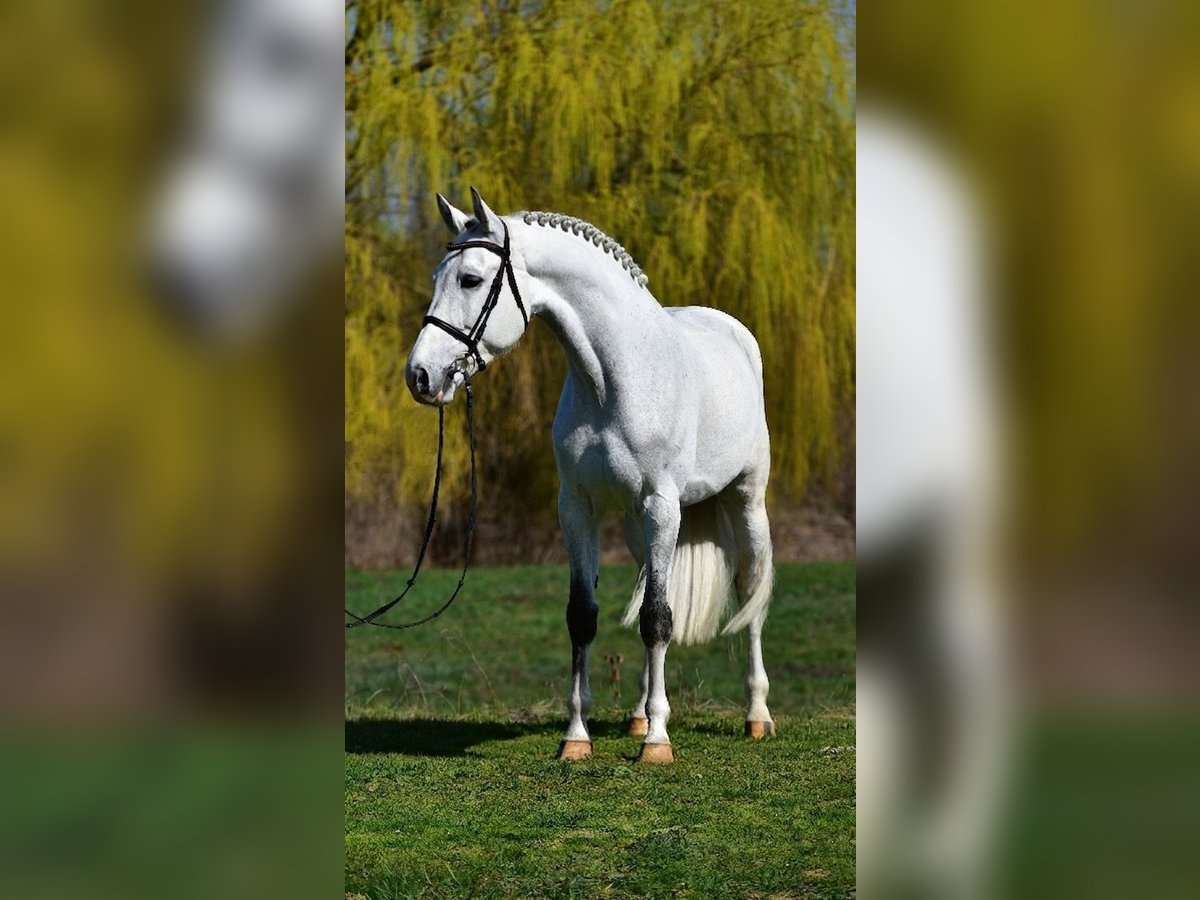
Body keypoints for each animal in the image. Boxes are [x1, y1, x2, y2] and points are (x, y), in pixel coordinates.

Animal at [405, 188, 776, 762]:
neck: (615, 378)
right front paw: (577, 737)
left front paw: (658, 743)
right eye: (436, 276)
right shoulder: (578, 508)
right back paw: (638, 714)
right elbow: (585, 615)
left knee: (750, 593)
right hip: (636, 528)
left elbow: (658, 619)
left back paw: (756, 716)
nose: (420, 376)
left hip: (744, 503)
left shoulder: (661, 506)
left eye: (469, 279)